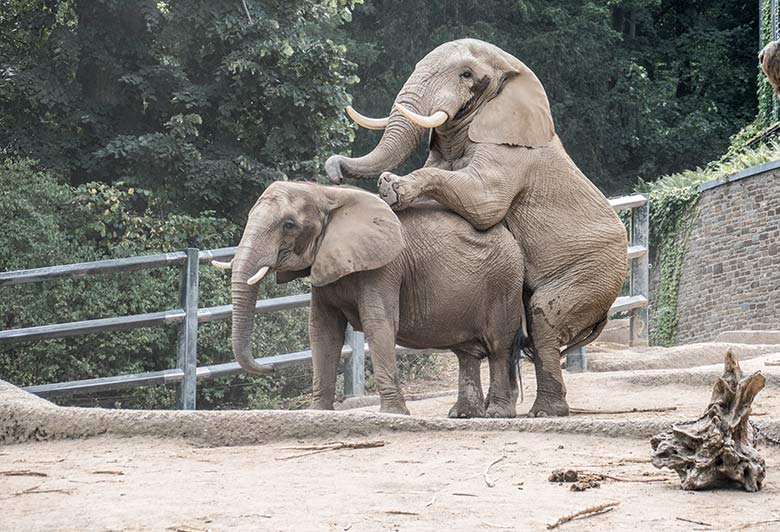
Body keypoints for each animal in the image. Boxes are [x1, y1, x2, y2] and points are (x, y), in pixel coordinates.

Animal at [216, 181, 528, 418]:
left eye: (289, 225)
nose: (270, 368)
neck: (325, 193)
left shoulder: (385, 266)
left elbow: (378, 323)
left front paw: (392, 414)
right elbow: (322, 331)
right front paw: (318, 412)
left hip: (504, 281)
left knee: (499, 347)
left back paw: (497, 414)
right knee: (467, 352)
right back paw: (463, 414)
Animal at [324, 39, 628, 418]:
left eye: (467, 75)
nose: (333, 168)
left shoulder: (510, 154)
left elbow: (483, 204)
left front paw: (393, 187)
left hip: (594, 270)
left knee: (542, 315)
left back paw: (543, 412)